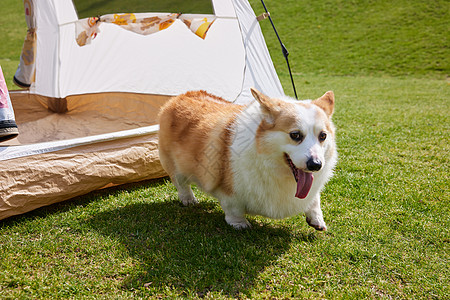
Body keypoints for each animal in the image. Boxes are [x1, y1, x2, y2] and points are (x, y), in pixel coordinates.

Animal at [158, 88, 338, 231]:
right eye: (295, 135)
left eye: (323, 136)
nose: (315, 165)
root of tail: (178, 97)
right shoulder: (229, 190)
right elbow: (233, 208)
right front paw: (240, 224)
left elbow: (314, 200)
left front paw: (317, 220)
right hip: (173, 165)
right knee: (181, 183)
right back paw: (188, 200)